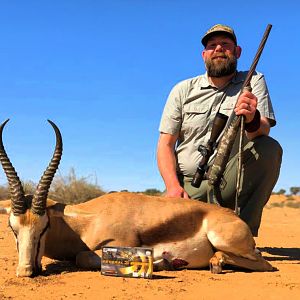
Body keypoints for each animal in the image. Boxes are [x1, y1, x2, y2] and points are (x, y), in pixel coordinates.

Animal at [0, 119, 274, 276]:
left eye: (44, 226)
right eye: (13, 228)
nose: (25, 271)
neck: (85, 223)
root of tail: (233, 216)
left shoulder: (123, 242)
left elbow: (83, 256)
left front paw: (161, 263)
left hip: (224, 241)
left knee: (264, 264)